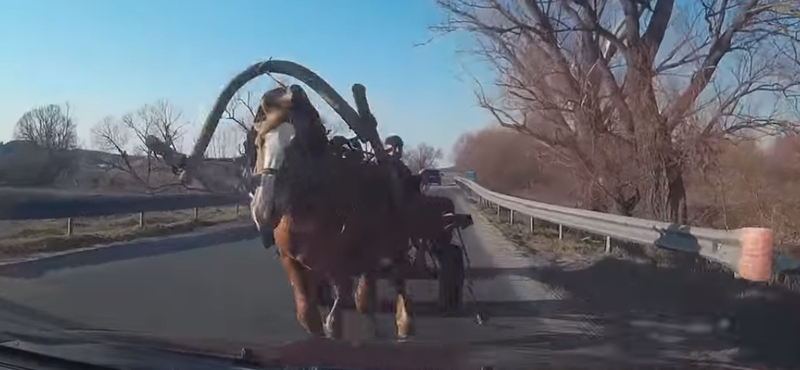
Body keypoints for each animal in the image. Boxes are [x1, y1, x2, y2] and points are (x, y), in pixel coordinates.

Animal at [248, 84, 412, 342]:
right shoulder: (292, 261)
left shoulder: (344, 264)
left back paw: (402, 324)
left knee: (393, 283)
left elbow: (339, 315)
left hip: (392, 245)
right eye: (259, 143)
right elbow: (308, 313)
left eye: (300, 144)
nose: (264, 209)